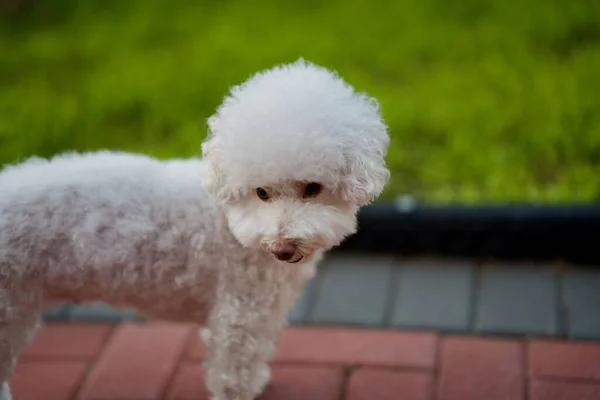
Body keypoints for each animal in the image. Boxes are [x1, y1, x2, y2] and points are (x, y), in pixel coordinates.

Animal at [0, 59, 390, 400]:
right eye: (261, 192)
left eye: (312, 188)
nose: (282, 249)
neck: (228, 221)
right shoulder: (240, 312)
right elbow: (233, 373)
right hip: (10, 309)